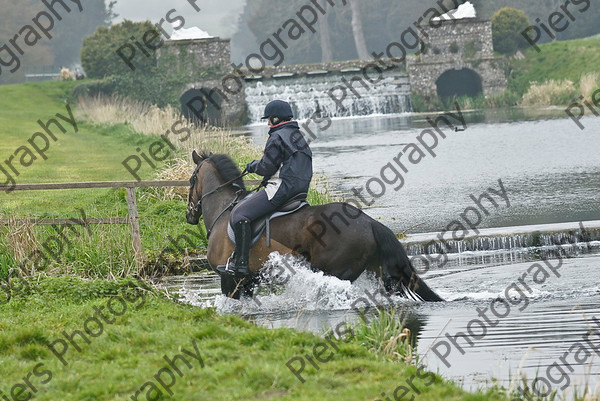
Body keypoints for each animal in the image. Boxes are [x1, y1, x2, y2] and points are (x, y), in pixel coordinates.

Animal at [185, 150, 442, 300]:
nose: (190, 215)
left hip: (336, 270)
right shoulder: (246, 282)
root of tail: (369, 222)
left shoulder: (230, 280)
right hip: (378, 272)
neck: (223, 208)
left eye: (191, 180)